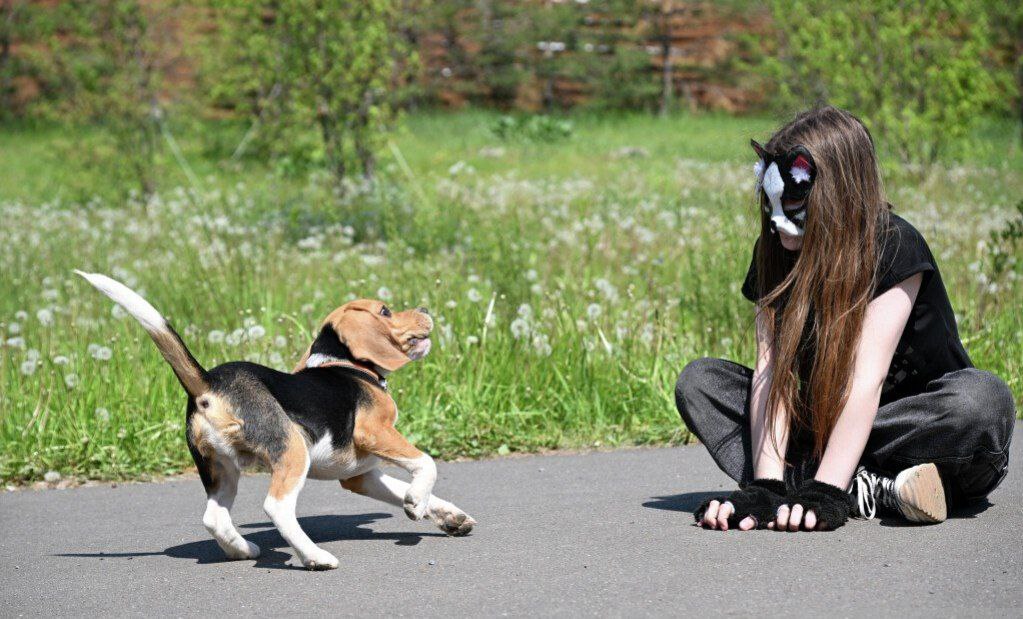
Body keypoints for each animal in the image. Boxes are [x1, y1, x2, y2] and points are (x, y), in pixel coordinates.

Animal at [77, 270, 476, 568]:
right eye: (386, 311)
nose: (424, 307)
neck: (345, 363)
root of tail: (209, 382)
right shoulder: (375, 432)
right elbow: (426, 464)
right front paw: (416, 502)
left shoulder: (360, 475)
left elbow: (407, 488)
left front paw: (448, 516)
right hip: (292, 448)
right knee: (277, 507)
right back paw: (315, 557)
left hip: (220, 468)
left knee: (213, 517)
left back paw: (242, 549)